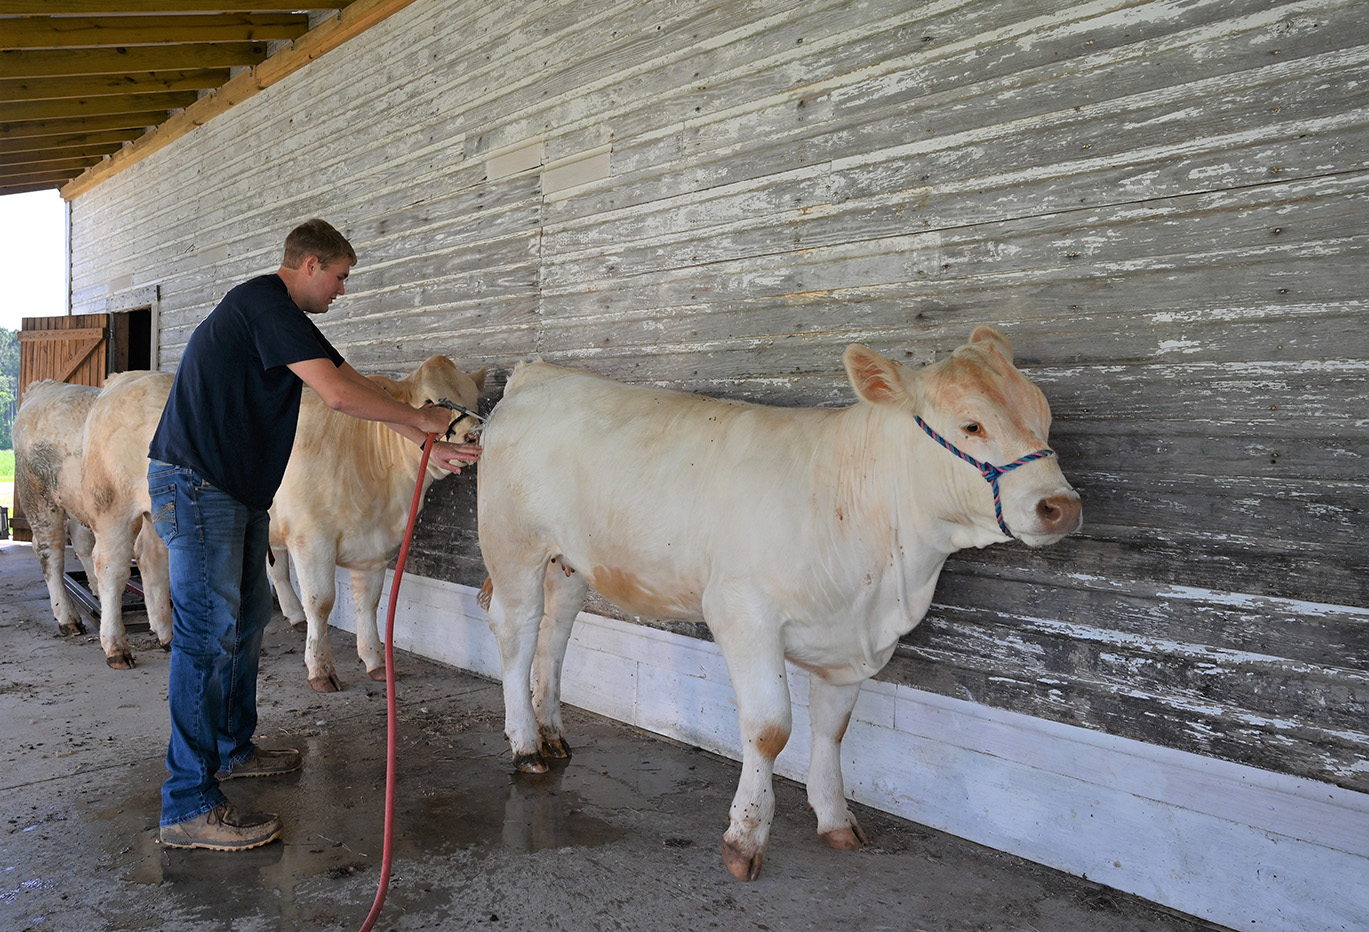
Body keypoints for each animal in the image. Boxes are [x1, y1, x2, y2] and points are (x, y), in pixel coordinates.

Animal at [479, 327, 1078, 881]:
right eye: (971, 425)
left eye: (1044, 414)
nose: (1062, 506)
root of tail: (540, 374)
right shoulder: (743, 613)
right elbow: (770, 729)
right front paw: (744, 838)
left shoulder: (849, 644)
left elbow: (833, 729)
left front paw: (836, 819)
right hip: (513, 546)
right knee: (516, 631)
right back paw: (527, 746)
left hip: (568, 563)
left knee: (555, 634)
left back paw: (553, 733)